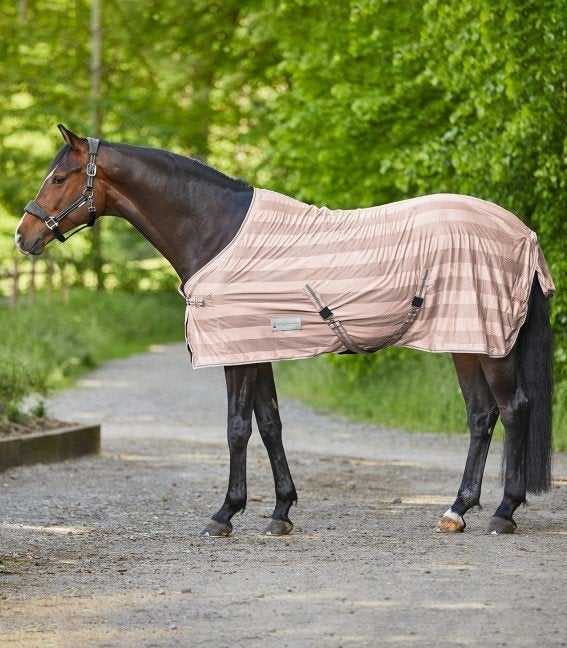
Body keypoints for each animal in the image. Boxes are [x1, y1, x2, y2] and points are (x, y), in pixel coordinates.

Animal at [15, 125, 554, 536]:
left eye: (59, 177)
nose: (23, 236)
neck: (216, 231)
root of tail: (521, 232)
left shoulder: (236, 352)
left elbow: (237, 429)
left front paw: (225, 515)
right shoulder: (258, 349)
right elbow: (270, 424)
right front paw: (280, 512)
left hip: (490, 344)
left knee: (514, 409)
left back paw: (503, 513)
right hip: (466, 341)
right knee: (481, 416)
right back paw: (456, 511)